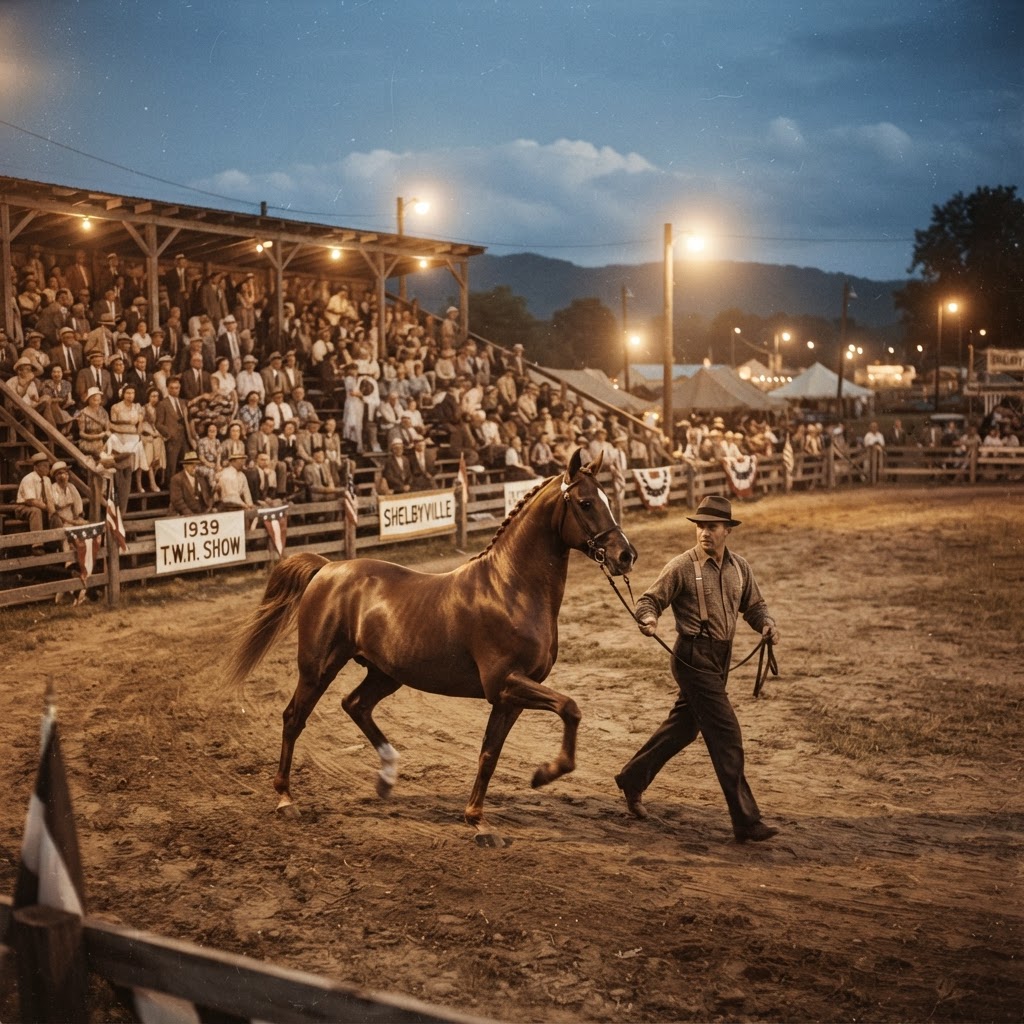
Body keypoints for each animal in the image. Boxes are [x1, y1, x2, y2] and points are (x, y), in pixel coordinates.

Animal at [226, 448, 637, 824]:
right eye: (585, 503)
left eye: (606, 499)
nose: (626, 555)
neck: (510, 589)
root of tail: (328, 568)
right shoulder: (505, 684)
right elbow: (569, 707)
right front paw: (543, 775)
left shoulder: (511, 697)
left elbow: (490, 753)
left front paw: (476, 817)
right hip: (318, 668)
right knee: (294, 718)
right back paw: (285, 798)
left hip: (385, 674)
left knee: (355, 704)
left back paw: (388, 776)